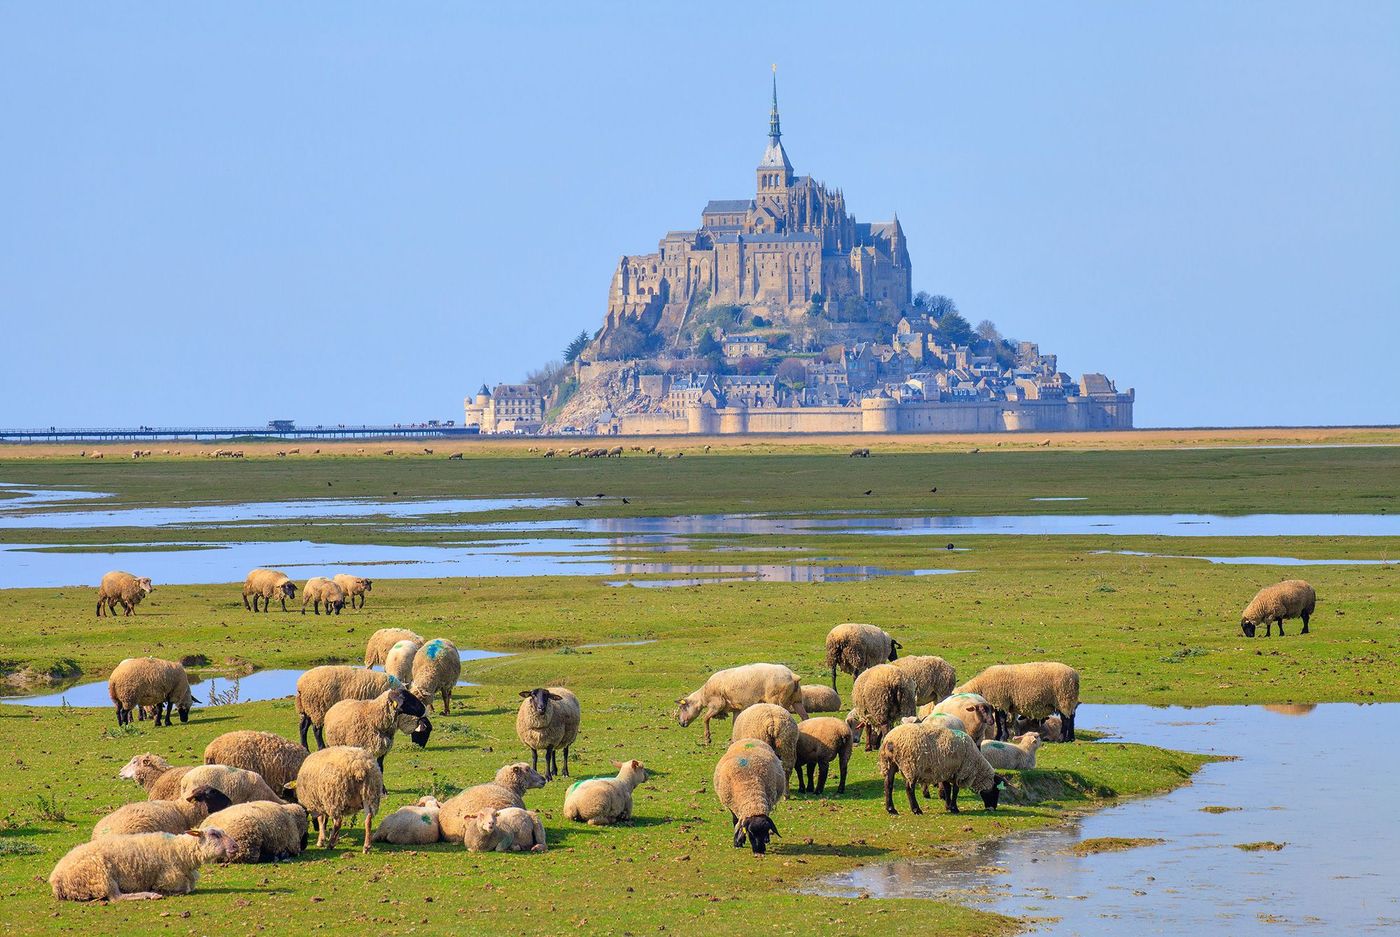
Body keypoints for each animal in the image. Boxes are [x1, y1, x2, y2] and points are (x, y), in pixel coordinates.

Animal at [49, 828, 238, 901]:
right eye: (214, 834)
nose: (236, 846)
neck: (181, 850)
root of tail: (56, 879)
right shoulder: (168, 879)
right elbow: (184, 888)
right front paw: (159, 891)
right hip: (101, 874)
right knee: (117, 898)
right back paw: (150, 894)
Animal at [676, 662, 807, 744]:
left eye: (683, 708)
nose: (680, 723)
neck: (703, 696)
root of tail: (792, 675)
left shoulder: (717, 705)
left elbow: (705, 718)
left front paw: (707, 738)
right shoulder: (736, 709)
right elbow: (735, 723)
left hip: (777, 699)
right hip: (797, 700)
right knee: (805, 716)